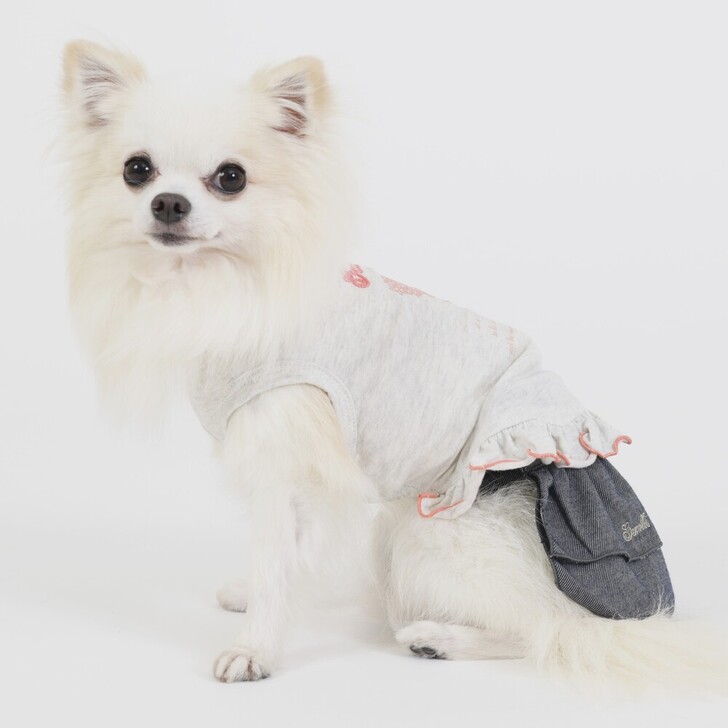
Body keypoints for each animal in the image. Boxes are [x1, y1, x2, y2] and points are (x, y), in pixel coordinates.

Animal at [60, 40, 727, 690]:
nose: (168, 202)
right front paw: (252, 598)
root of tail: (633, 615)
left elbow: (280, 558)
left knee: (548, 633)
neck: (229, 286)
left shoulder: (293, 461)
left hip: (426, 531)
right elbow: (284, 554)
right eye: (137, 170)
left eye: (231, 178)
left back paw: (440, 638)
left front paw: (255, 648)